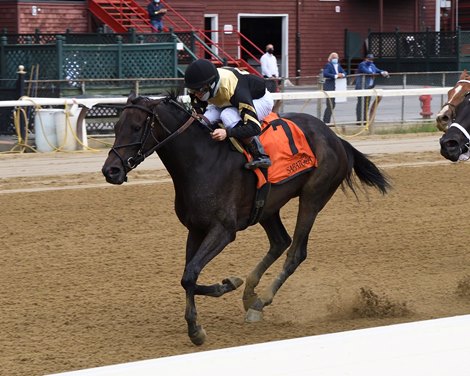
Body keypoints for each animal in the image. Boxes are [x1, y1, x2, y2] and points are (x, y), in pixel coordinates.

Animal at [102, 92, 390, 346]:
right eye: (116, 126)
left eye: (136, 127)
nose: (110, 171)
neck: (201, 161)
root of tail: (336, 138)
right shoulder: (195, 229)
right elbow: (187, 276)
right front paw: (228, 285)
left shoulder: (223, 230)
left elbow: (189, 274)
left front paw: (195, 328)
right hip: (268, 206)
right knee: (279, 242)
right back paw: (250, 293)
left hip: (313, 197)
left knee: (295, 252)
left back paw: (259, 303)